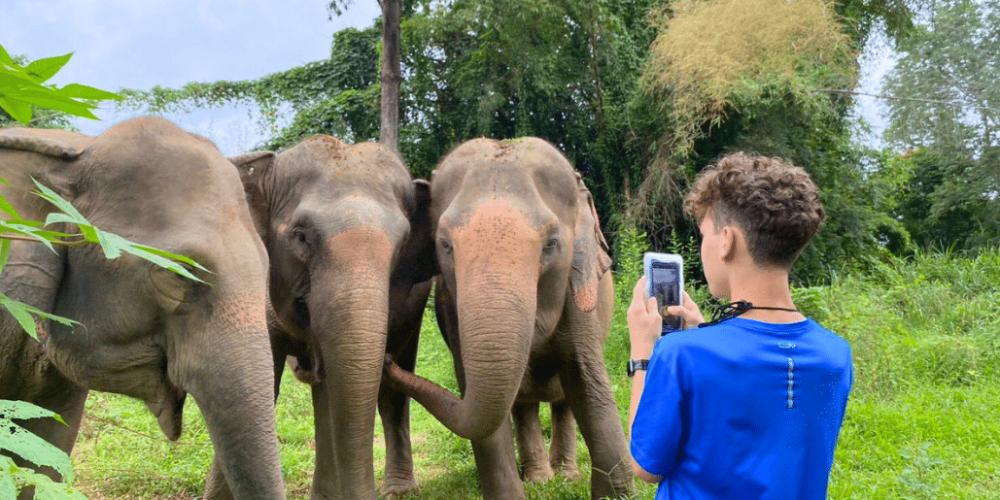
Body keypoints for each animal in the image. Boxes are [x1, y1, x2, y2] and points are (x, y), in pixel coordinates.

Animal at [384, 137, 633, 500]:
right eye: (445, 245)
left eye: (551, 244)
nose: (387, 360)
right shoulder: (452, 304)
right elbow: (479, 398)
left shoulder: (577, 290)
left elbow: (584, 377)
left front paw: (618, 492)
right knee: (523, 402)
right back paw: (540, 479)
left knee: (562, 400)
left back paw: (564, 476)